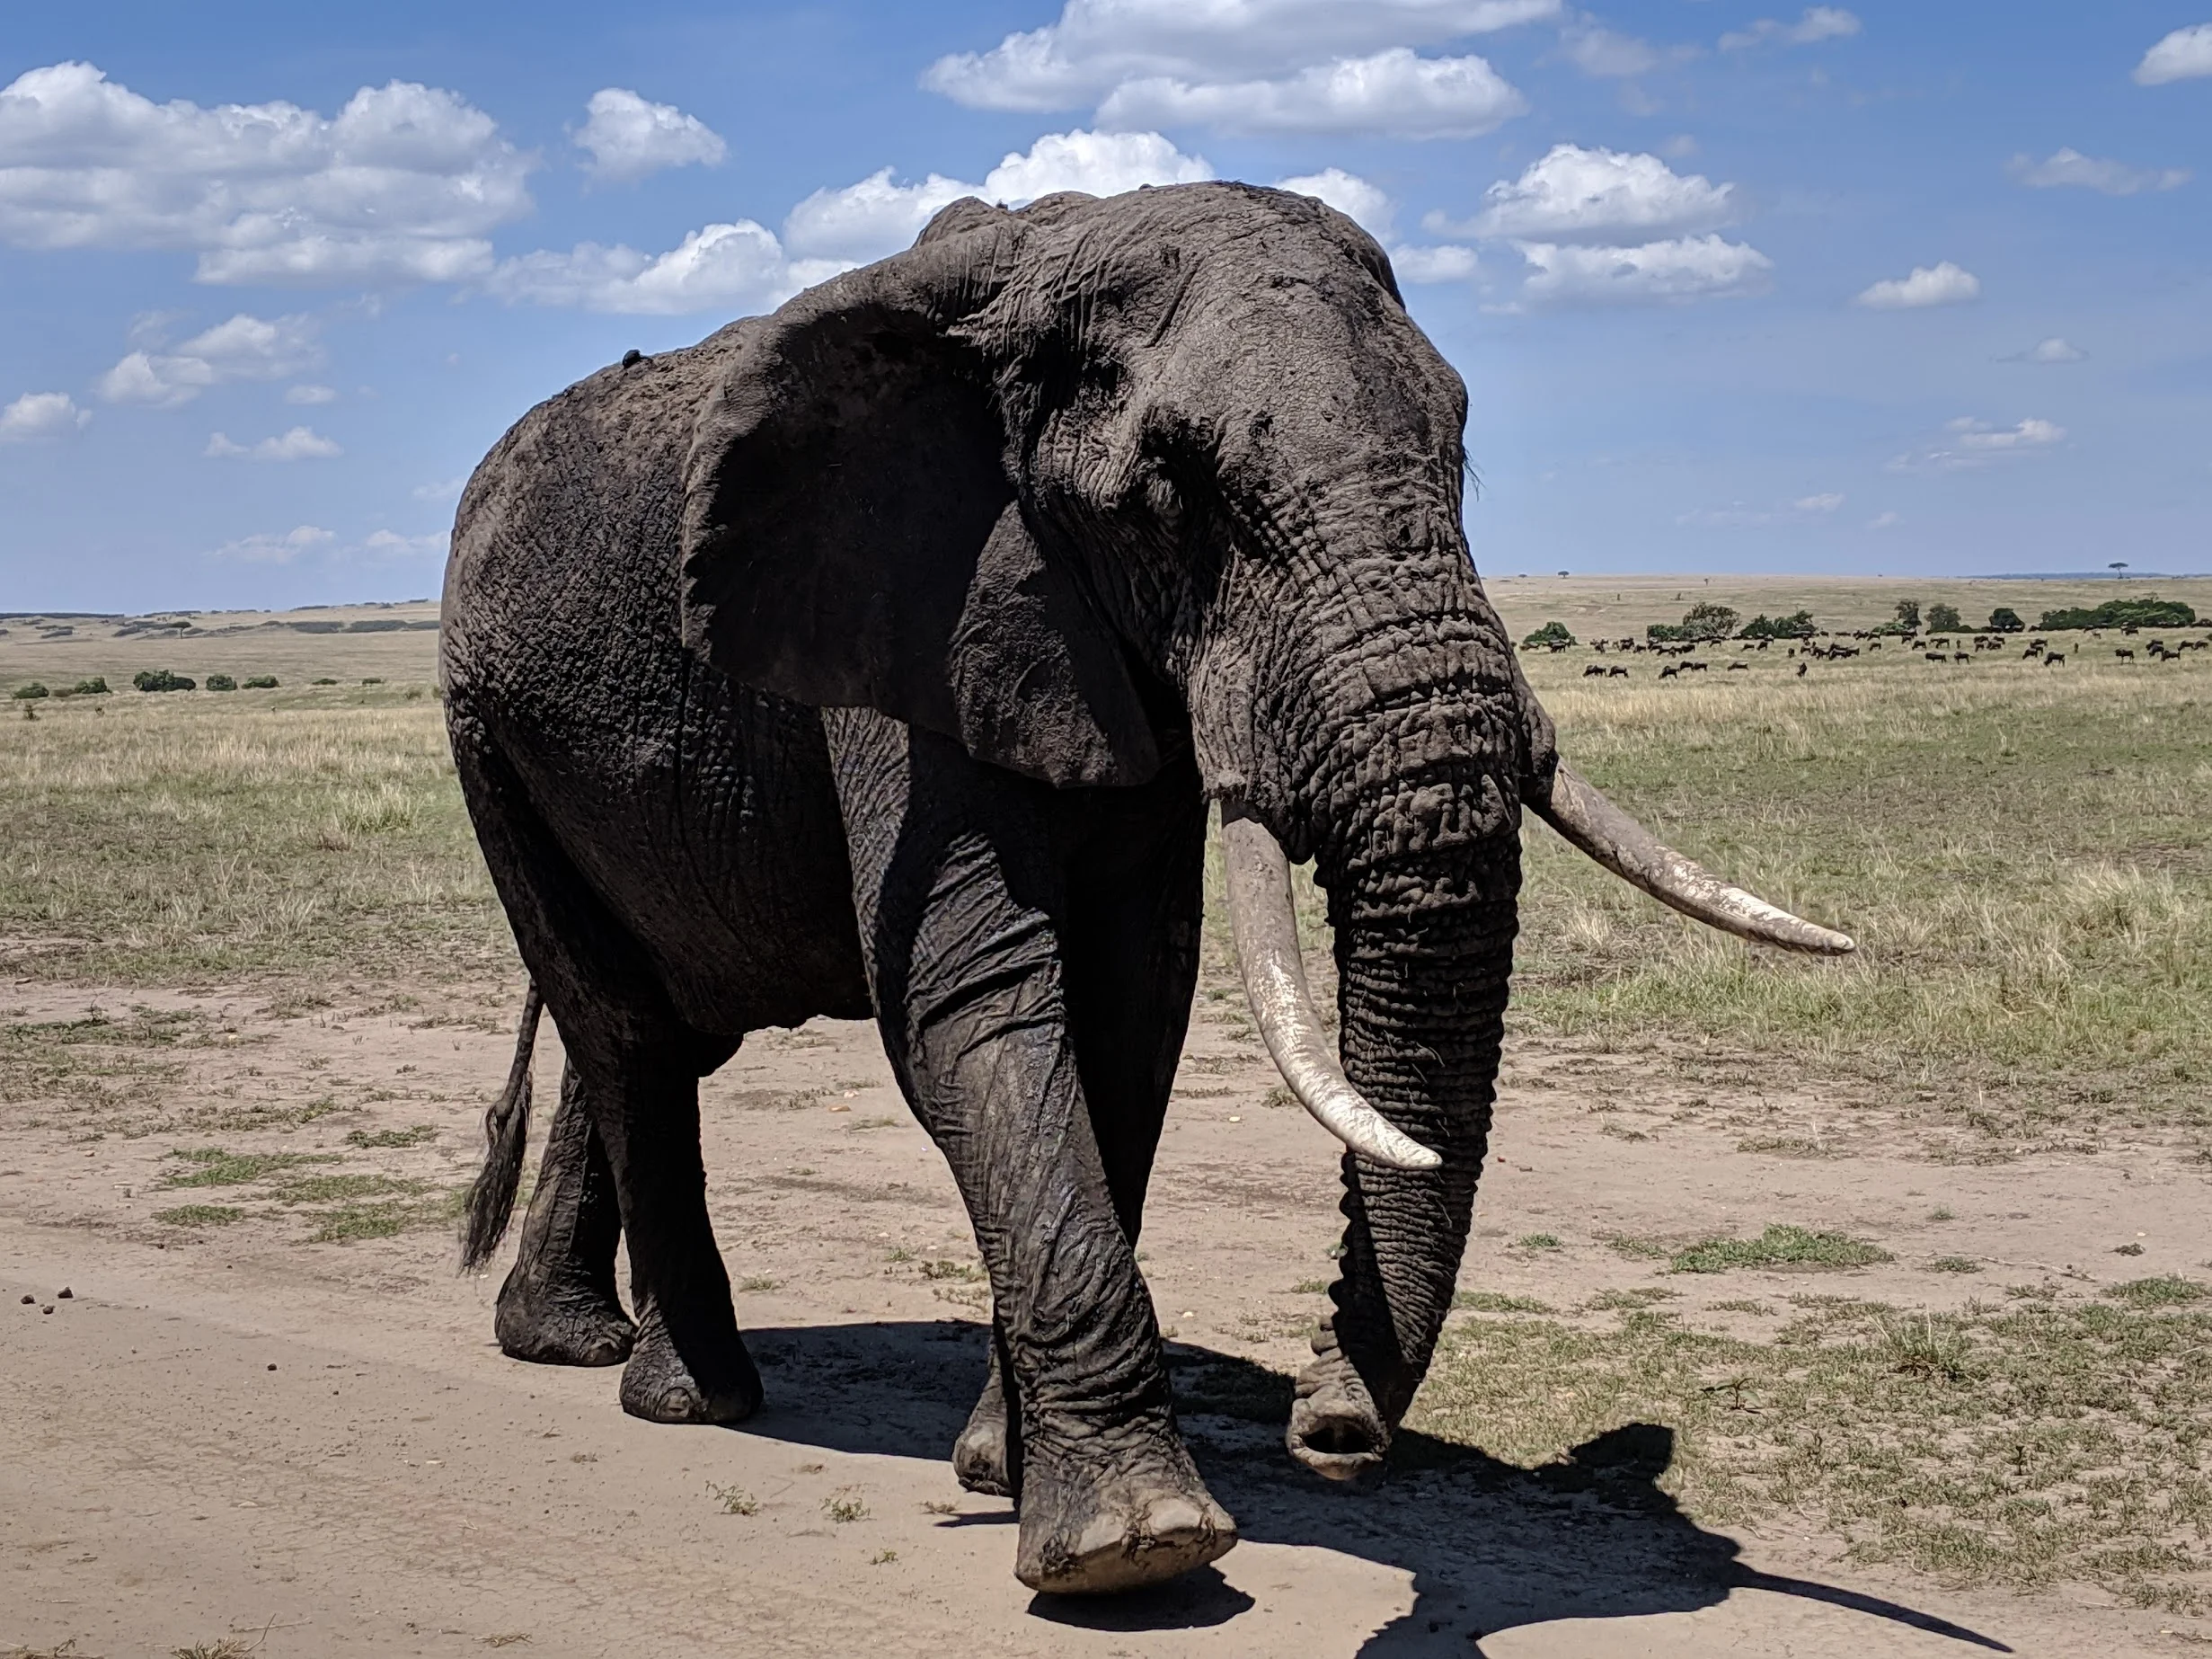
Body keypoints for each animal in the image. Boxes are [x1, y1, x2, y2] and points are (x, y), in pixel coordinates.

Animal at [440, 182, 1852, 1596]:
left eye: (1458, 446)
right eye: (1173, 488)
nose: (1330, 1429)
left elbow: (1127, 1008)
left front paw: (998, 1471)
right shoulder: (906, 621)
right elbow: (974, 998)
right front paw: (1131, 1543)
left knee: (646, 1029)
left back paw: (569, 1341)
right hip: (485, 732)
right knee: (627, 1030)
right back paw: (689, 1396)